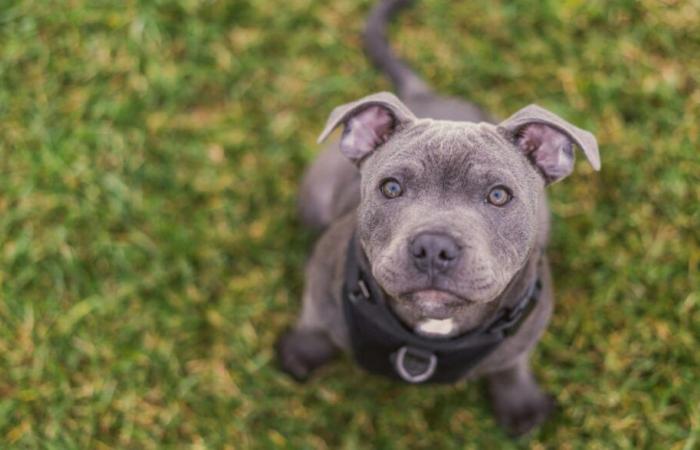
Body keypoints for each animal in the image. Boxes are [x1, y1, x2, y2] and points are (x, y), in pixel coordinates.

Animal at [276, 0, 600, 436]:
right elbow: (313, 320)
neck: (431, 333)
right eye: (391, 188)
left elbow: (511, 364)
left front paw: (519, 404)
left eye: (499, 195)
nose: (434, 247)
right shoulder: (320, 290)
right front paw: (301, 352)